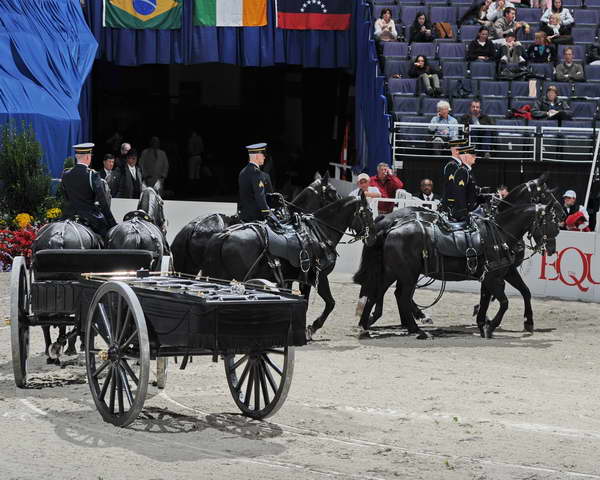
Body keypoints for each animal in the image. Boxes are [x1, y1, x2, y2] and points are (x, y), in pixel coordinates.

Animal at [204, 195, 376, 338]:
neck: (318, 234)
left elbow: (305, 302)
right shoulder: (319, 277)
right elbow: (330, 303)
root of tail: (224, 235)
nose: (373, 237)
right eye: (367, 214)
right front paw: (312, 327)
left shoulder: (303, 280)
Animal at [352, 179, 564, 338]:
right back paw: (413, 326)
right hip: (405, 273)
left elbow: (521, 293)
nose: (552, 248)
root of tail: (392, 226)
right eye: (546, 195)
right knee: (399, 295)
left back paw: (371, 324)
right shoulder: (493, 277)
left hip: (395, 272)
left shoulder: (504, 272)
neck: (500, 232)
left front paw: (524, 322)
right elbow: (502, 301)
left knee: (381, 293)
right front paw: (488, 324)